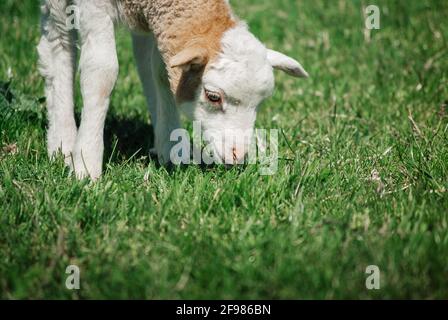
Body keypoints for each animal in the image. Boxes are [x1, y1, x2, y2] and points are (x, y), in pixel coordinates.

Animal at [37, 0, 308, 180]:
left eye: (259, 104)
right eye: (213, 96)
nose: (238, 155)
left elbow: (161, 71)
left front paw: (171, 147)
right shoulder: (92, 6)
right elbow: (102, 72)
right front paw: (86, 165)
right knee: (58, 44)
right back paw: (62, 142)